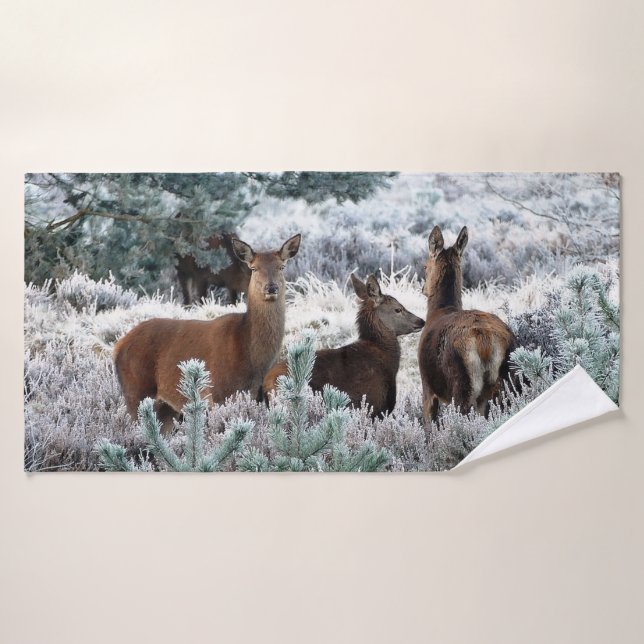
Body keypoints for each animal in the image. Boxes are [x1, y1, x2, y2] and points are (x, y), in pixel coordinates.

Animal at [114, 234, 301, 433]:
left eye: (281, 266)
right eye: (254, 268)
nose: (271, 287)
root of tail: (118, 347)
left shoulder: (257, 396)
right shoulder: (219, 393)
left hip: (166, 407)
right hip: (136, 391)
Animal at [417, 225, 517, 423]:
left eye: (425, 266)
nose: (423, 289)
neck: (439, 310)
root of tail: (485, 341)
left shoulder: (427, 385)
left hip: (462, 384)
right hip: (506, 383)